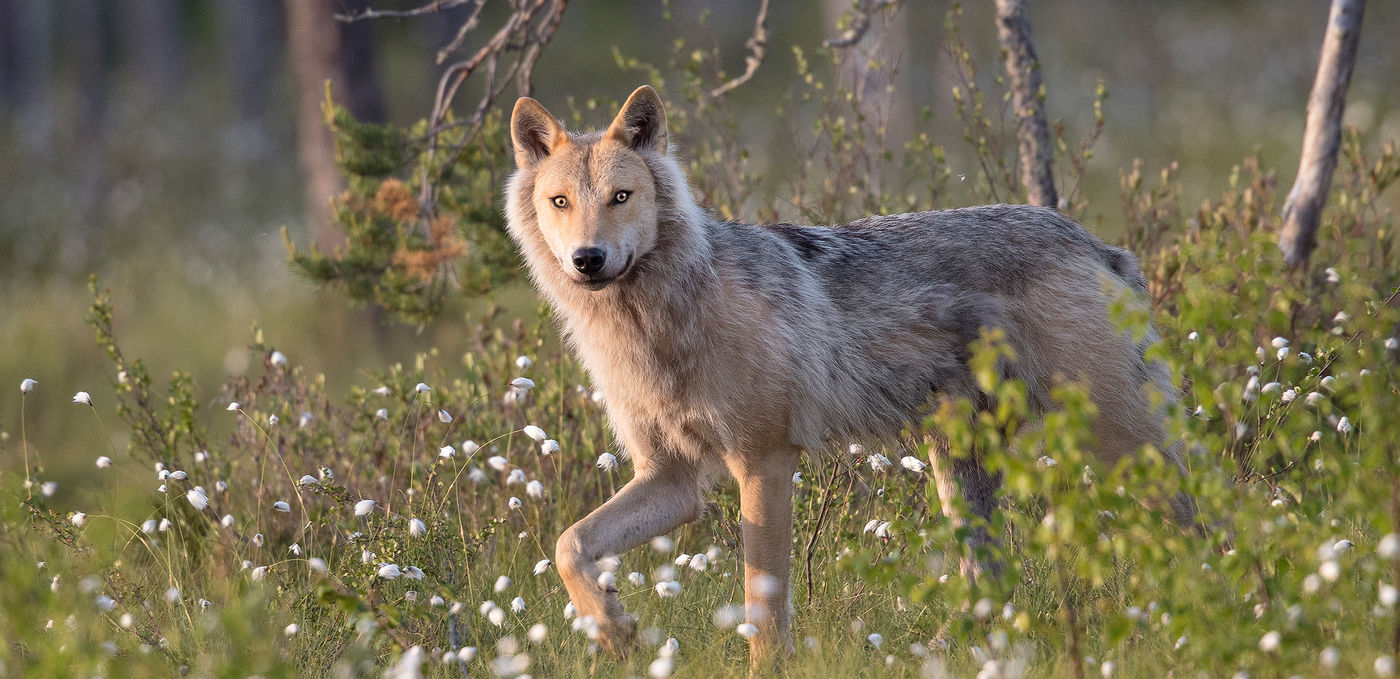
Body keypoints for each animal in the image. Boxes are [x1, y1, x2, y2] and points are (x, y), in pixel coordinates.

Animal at [504, 84, 1192, 660]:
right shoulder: (671, 479)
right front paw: (612, 627)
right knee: (992, 581)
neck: (658, 327)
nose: (587, 259)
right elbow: (568, 546)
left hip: (1118, 447)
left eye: (621, 197)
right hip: (960, 467)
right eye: (560, 202)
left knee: (1194, 522)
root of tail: (1096, 244)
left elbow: (763, 609)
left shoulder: (763, 463)